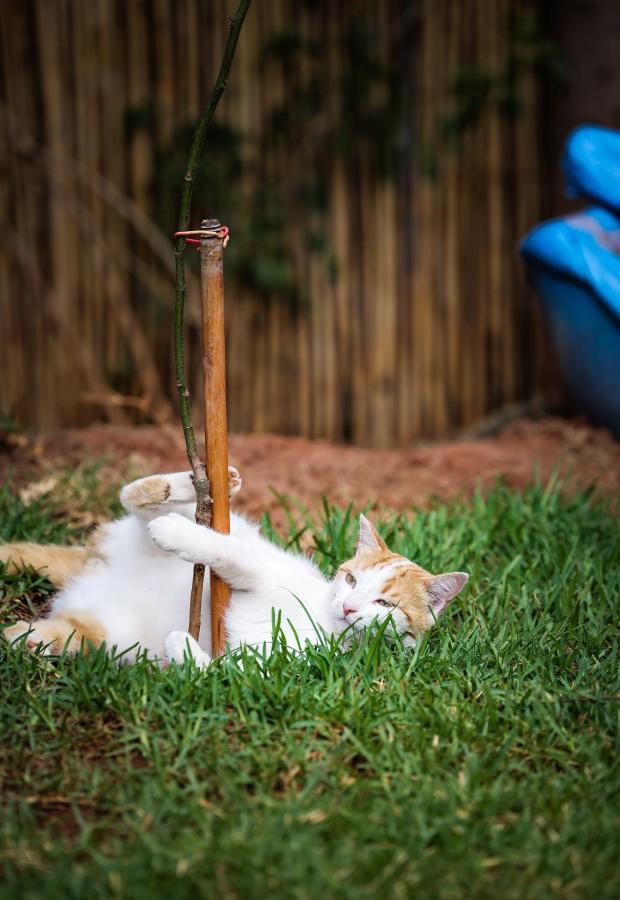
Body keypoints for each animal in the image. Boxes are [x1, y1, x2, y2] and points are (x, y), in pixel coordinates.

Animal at [0, 468, 464, 664]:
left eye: (385, 605)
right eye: (350, 578)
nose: (349, 607)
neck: (323, 623)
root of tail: (94, 564)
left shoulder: (265, 674)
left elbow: (217, 678)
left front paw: (182, 647)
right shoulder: (262, 570)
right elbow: (235, 557)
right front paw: (182, 535)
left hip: (92, 637)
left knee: (26, 637)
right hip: (213, 523)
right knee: (133, 497)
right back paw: (193, 486)